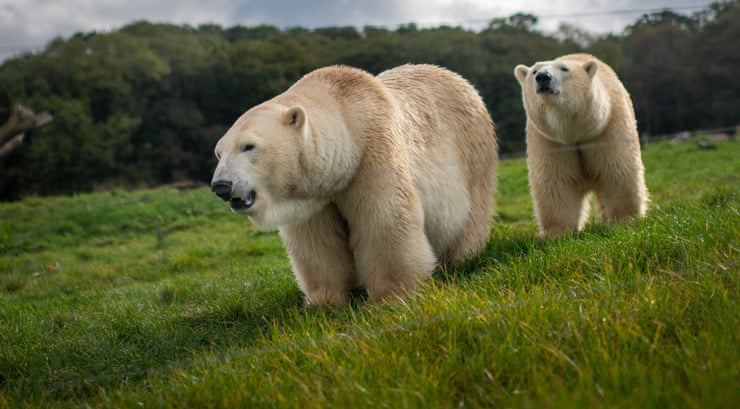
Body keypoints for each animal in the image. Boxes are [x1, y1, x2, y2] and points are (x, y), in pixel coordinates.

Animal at [211, 64, 498, 305]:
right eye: (218, 153)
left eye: (248, 146)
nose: (221, 186)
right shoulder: (315, 196)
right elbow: (317, 242)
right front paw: (323, 302)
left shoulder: (373, 156)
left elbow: (385, 221)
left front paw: (390, 296)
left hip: (472, 154)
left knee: (470, 216)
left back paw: (460, 260)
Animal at [514, 53, 648, 237]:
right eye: (534, 71)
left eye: (564, 69)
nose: (543, 77)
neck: (575, 133)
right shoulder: (550, 140)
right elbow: (555, 181)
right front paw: (557, 233)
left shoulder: (606, 129)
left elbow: (617, 171)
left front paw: (625, 220)